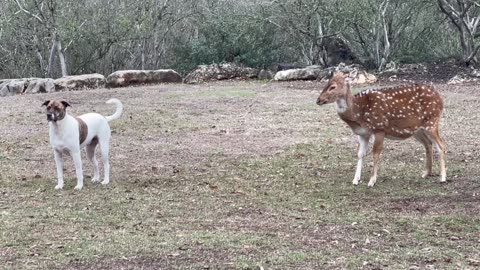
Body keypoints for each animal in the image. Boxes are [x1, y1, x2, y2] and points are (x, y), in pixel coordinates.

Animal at [318, 72, 446, 188]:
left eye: (332, 87)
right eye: (326, 83)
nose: (318, 100)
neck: (358, 114)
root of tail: (440, 98)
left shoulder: (379, 128)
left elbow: (375, 153)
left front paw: (371, 181)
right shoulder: (363, 133)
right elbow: (360, 154)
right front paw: (355, 180)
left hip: (432, 121)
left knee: (441, 144)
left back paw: (443, 177)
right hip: (417, 129)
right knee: (428, 144)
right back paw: (426, 173)